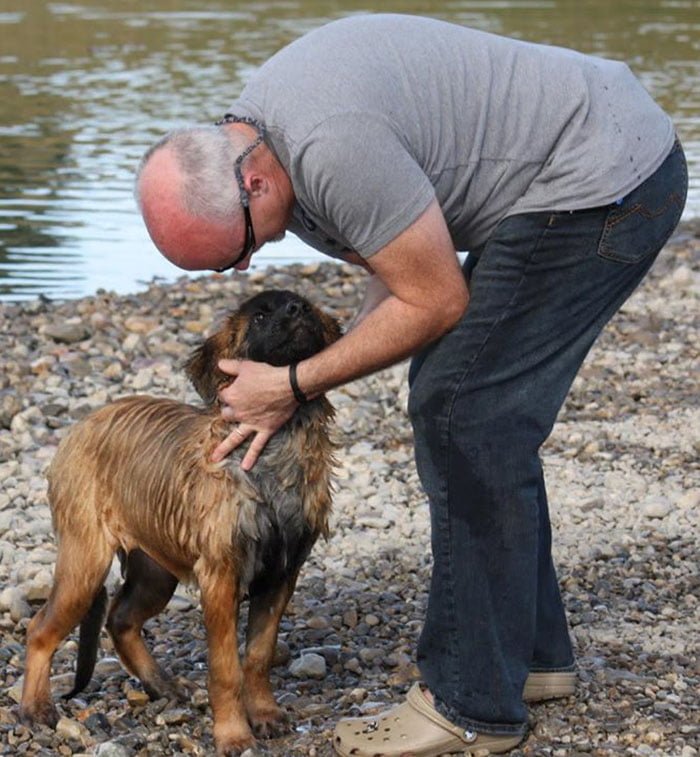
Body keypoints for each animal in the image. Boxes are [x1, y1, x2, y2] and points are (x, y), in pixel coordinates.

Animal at [19, 290, 342, 756]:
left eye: (304, 305)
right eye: (261, 316)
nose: (297, 312)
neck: (272, 452)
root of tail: (83, 424)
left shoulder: (282, 574)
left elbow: (258, 657)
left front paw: (265, 715)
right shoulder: (221, 575)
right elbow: (225, 668)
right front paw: (233, 735)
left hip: (155, 572)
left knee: (121, 620)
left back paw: (163, 685)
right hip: (85, 561)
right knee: (41, 629)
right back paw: (35, 708)